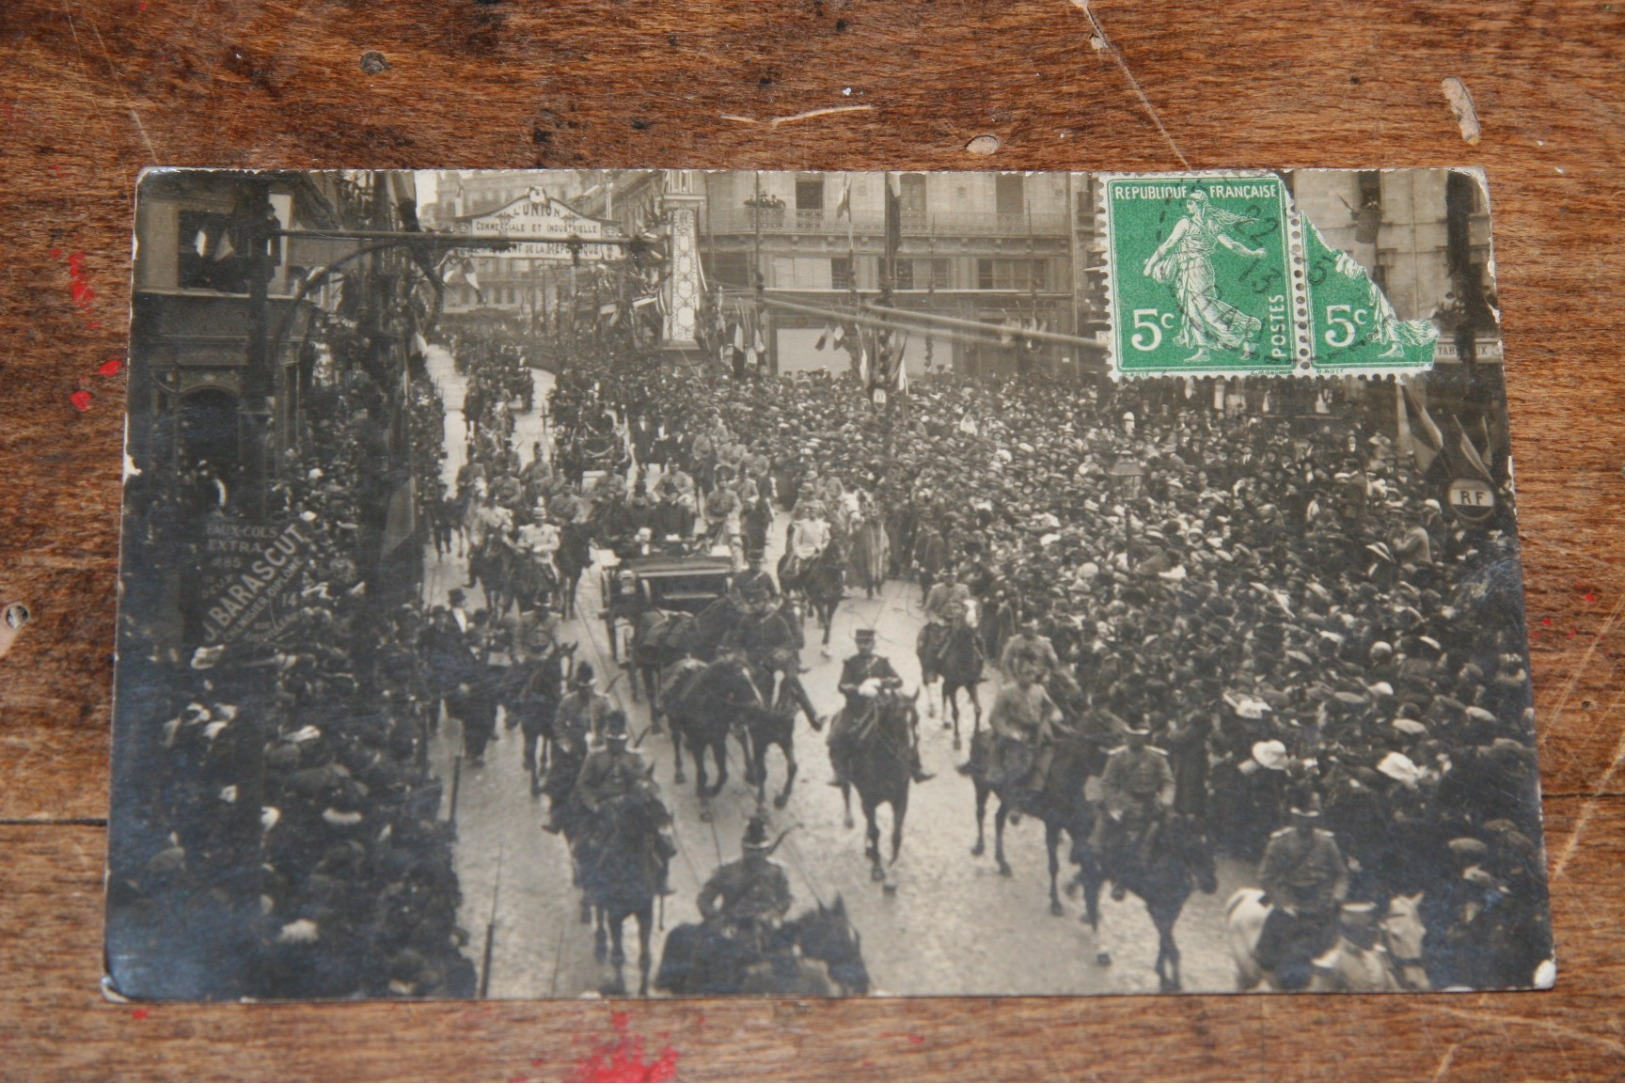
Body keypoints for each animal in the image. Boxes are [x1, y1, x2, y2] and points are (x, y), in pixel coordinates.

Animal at [575, 776, 669, 994]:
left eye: (660, 790)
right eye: (646, 800)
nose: (666, 828)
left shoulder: (645, 913)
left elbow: (645, 958)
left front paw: (643, 992)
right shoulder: (615, 915)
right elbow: (618, 955)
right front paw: (621, 987)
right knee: (598, 911)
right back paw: (600, 944)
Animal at [832, 685, 923, 890]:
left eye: (916, 719)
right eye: (897, 720)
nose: (908, 754)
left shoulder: (901, 799)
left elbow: (896, 835)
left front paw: (891, 865)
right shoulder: (868, 801)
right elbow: (875, 832)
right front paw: (877, 868)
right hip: (844, 777)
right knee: (845, 791)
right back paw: (849, 819)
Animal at [1066, 809, 1222, 987]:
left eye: (1213, 848)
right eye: (1195, 848)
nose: (1212, 886)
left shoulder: (1173, 911)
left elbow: (1165, 941)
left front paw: (1164, 973)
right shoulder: (1156, 909)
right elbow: (1170, 944)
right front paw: (1169, 979)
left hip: (1101, 874)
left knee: (1089, 895)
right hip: (1094, 873)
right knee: (1091, 902)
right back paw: (1101, 951)